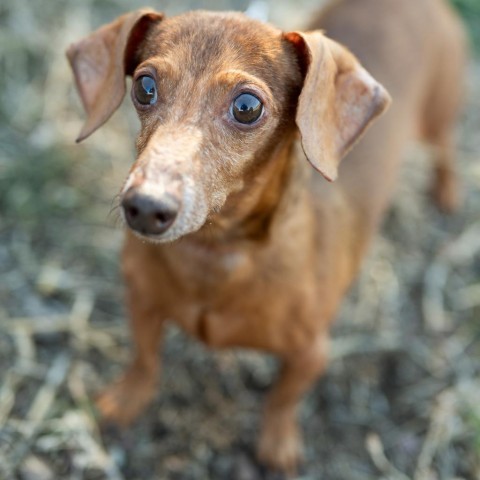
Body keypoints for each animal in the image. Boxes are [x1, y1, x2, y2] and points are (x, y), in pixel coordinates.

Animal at [67, 0, 464, 472]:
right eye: (145, 86)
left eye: (246, 107)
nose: (145, 206)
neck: (215, 254)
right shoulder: (142, 302)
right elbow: (145, 359)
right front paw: (127, 400)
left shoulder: (311, 354)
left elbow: (282, 399)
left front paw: (277, 443)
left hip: (439, 115)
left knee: (445, 150)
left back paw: (447, 191)